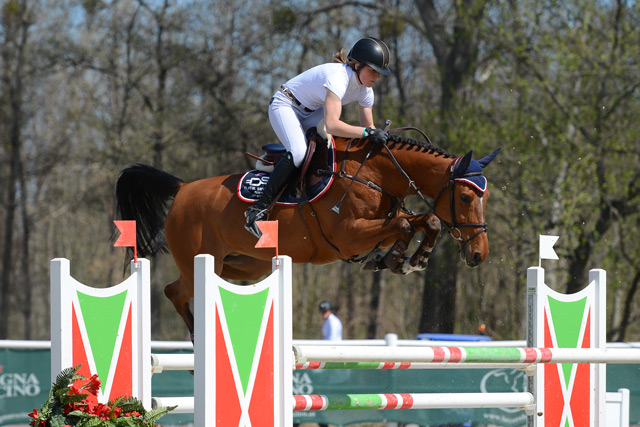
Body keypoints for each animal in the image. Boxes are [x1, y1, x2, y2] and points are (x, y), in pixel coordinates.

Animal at [117, 132, 502, 340]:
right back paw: (198, 338)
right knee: (174, 291)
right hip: (199, 262)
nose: (479, 254)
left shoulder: (384, 222)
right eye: (465, 197)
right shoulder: (348, 236)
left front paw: (408, 260)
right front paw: (396, 259)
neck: (375, 174)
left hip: (243, 265)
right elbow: (406, 226)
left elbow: (426, 221)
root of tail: (183, 189)